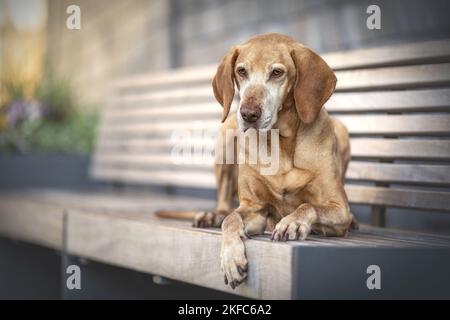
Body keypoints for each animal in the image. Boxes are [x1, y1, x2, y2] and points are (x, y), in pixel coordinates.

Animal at [156, 33, 356, 290]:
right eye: (241, 71)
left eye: (277, 72)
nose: (248, 113)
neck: (281, 143)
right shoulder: (255, 209)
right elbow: (231, 219)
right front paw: (231, 258)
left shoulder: (339, 209)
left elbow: (308, 205)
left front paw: (292, 222)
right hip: (226, 131)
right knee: (225, 206)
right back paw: (213, 215)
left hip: (342, 130)